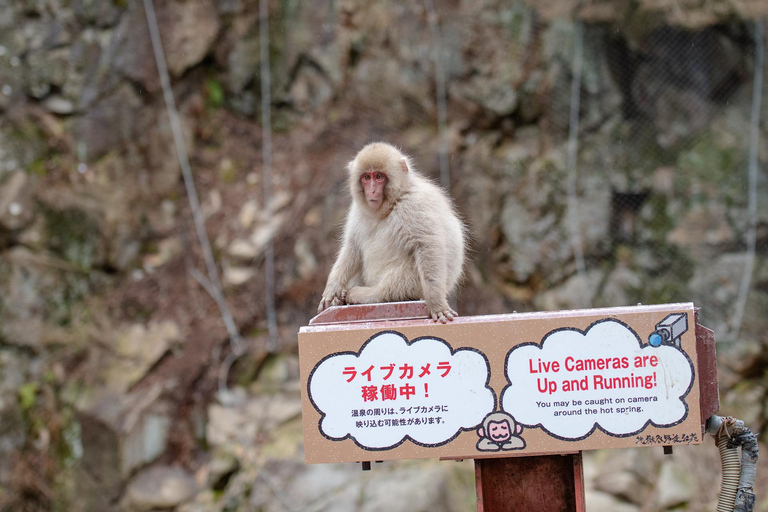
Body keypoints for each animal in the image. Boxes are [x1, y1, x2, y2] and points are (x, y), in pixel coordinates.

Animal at [317, 142, 465, 323]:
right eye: (367, 177)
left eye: (379, 176)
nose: (372, 191)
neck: (391, 204)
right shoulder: (357, 210)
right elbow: (353, 246)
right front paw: (332, 288)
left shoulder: (413, 204)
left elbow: (427, 244)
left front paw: (437, 303)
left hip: (416, 286)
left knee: (396, 283)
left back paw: (364, 294)